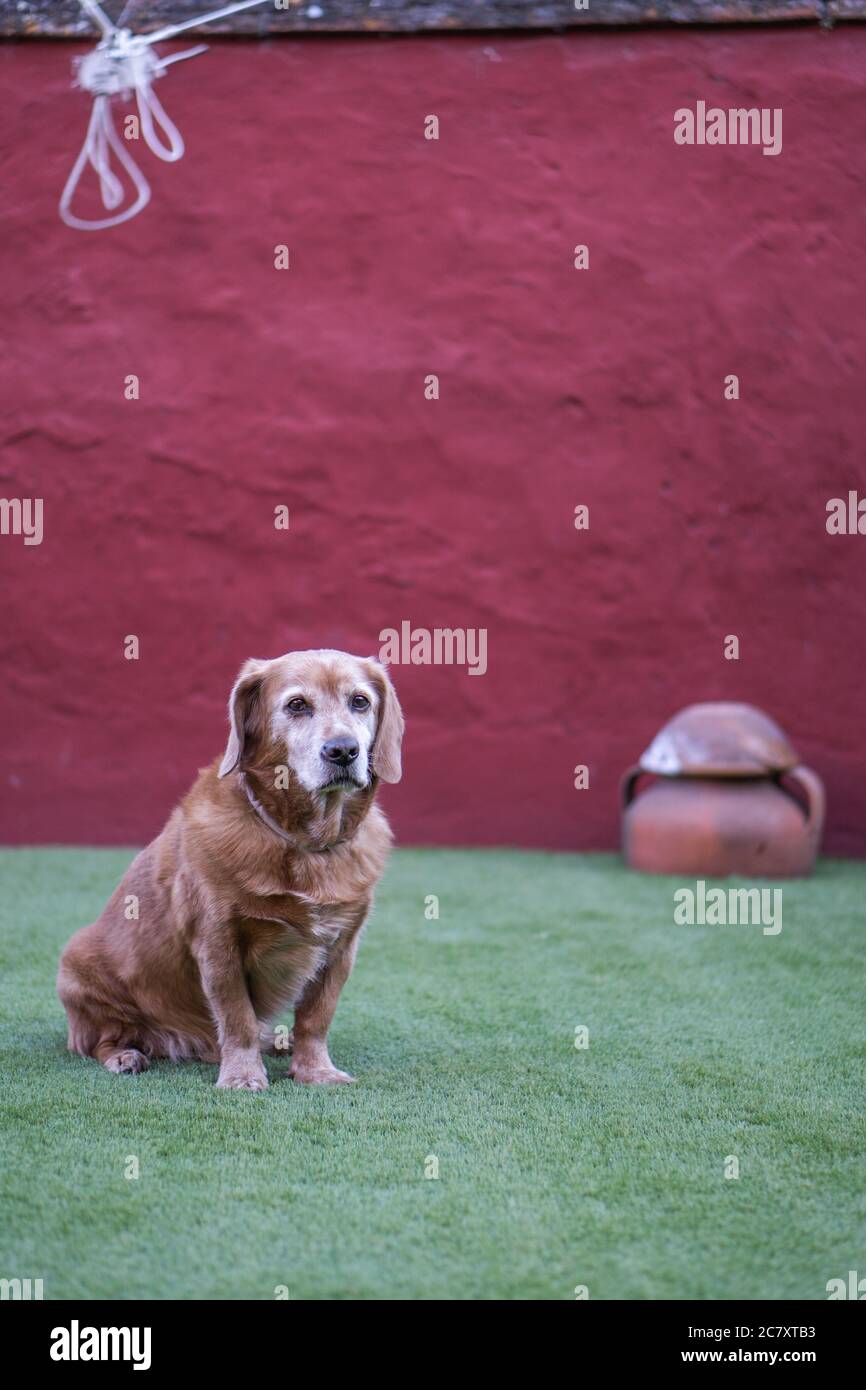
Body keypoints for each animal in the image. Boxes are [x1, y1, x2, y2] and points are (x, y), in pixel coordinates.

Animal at [57, 644, 403, 1089]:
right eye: (297, 705)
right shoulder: (218, 942)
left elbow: (316, 1017)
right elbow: (238, 1017)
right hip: (77, 967)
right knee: (101, 1039)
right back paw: (124, 1056)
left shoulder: (342, 946)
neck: (304, 842)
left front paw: (316, 1071)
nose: (343, 750)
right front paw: (242, 1076)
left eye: (360, 701)